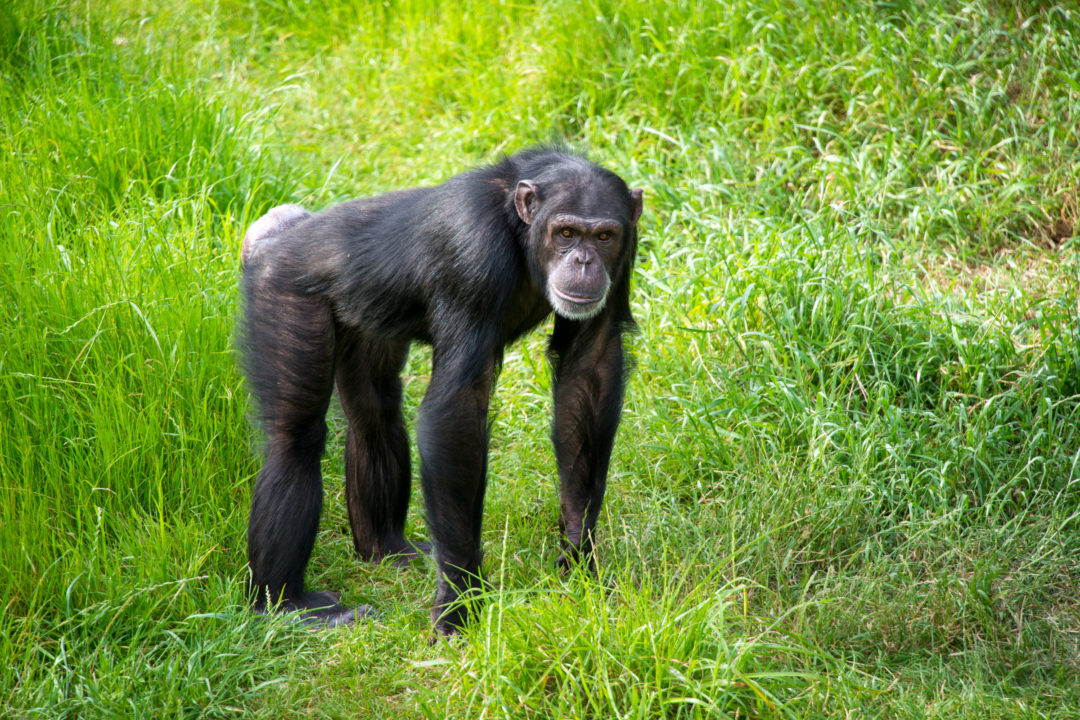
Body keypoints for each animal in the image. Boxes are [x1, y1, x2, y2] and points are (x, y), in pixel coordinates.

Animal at [238, 144, 639, 630]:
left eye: (604, 237)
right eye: (566, 232)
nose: (583, 260)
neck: (520, 231)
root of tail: (272, 233)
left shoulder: (626, 252)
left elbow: (589, 368)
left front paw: (578, 553)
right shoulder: (473, 256)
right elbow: (456, 410)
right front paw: (460, 601)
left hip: (363, 311)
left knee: (374, 412)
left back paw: (387, 548)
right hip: (283, 292)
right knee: (294, 439)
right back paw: (285, 603)